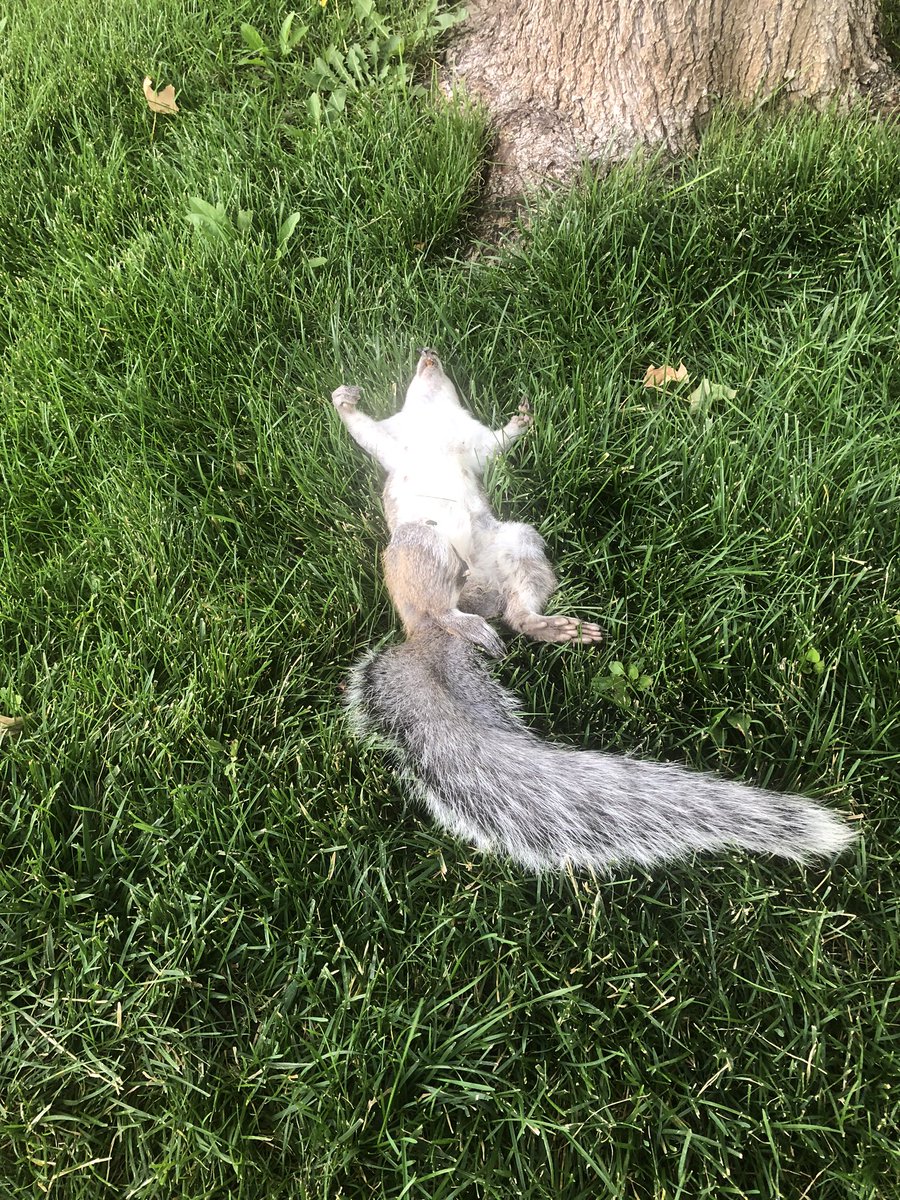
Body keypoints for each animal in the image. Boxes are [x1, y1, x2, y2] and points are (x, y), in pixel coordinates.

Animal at [330, 349, 855, 872]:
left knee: (515, 614)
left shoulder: (477, 445)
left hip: (517, 542)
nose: (429, 355)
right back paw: (465, 621)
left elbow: (500, 443)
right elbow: (363, 431)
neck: (432, 416)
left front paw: (523, 417)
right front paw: (344, 399)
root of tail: (425, 632)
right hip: (420, 546)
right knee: (437, 606)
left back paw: (549, 628)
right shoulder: (392, 442)